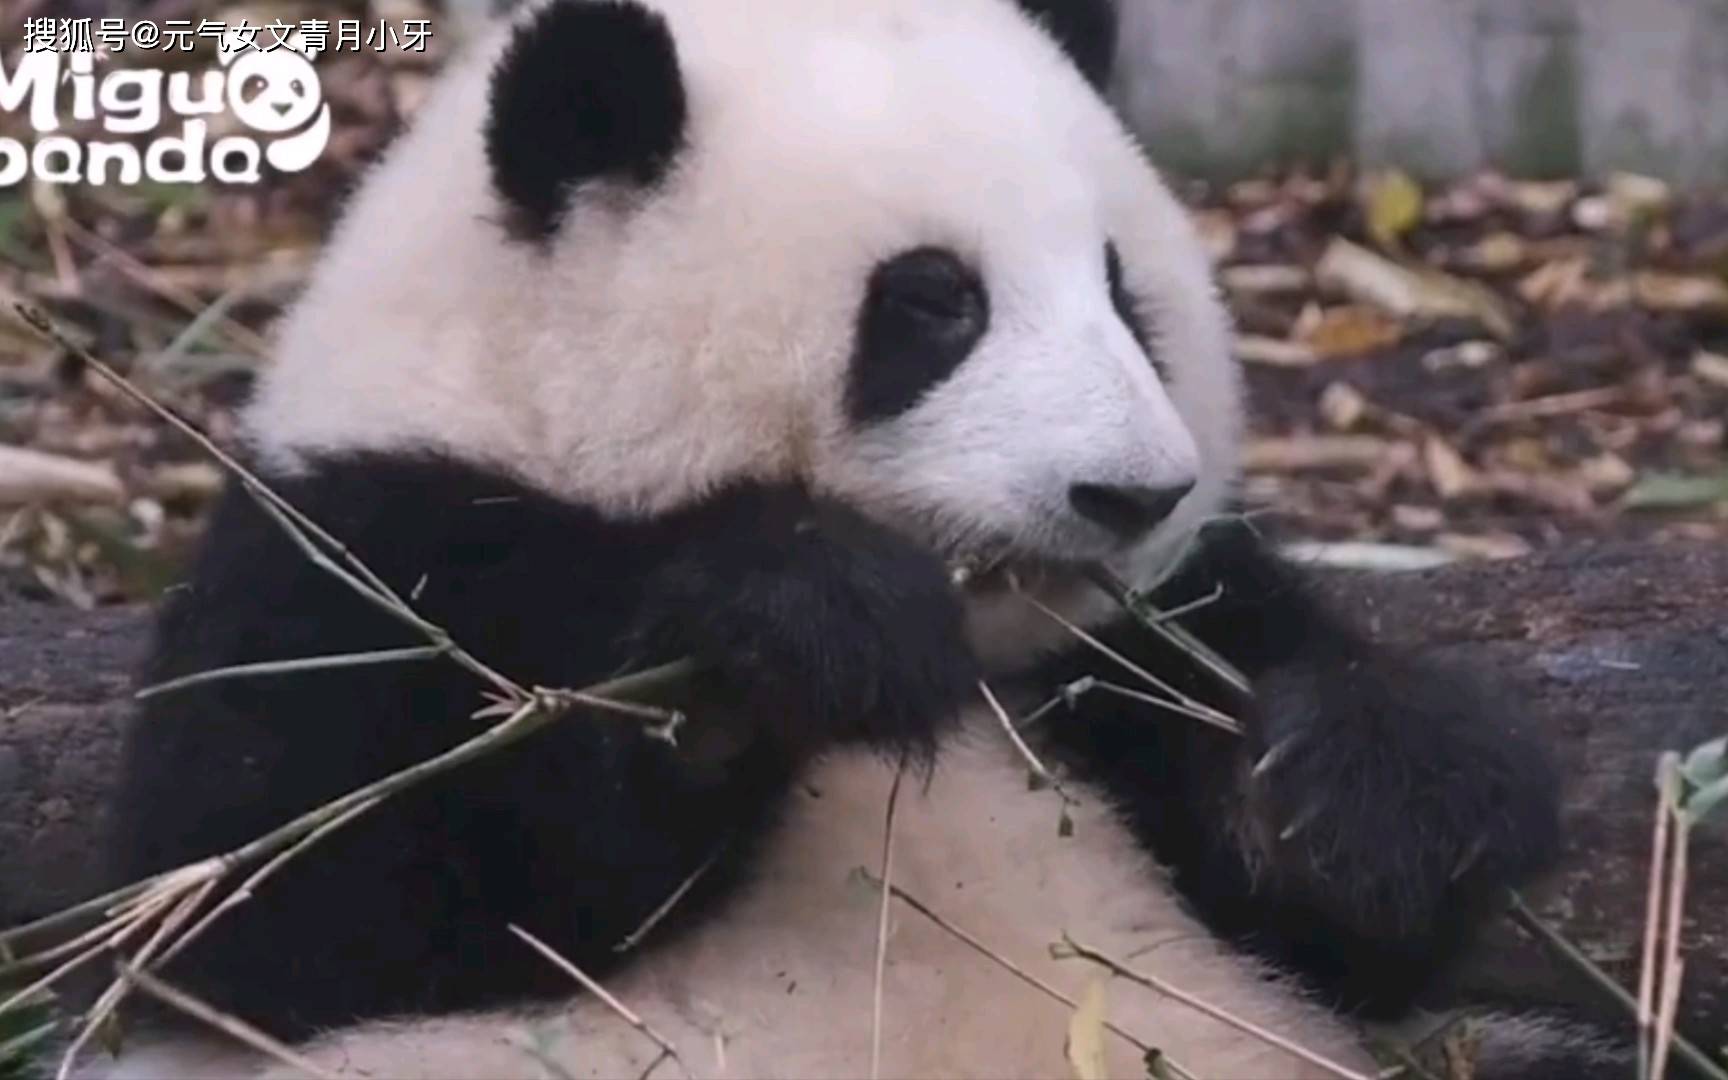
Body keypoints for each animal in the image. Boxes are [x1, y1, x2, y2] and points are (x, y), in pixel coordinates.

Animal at [81, 2, 1617, 1078]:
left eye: (1127, 293)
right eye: (936, 302)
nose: (1135, 495)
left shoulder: (1134, 647)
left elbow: (1341, 920)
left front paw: (1358, 784)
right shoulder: (363, 549)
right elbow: (296, 905)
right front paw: (797, 628)